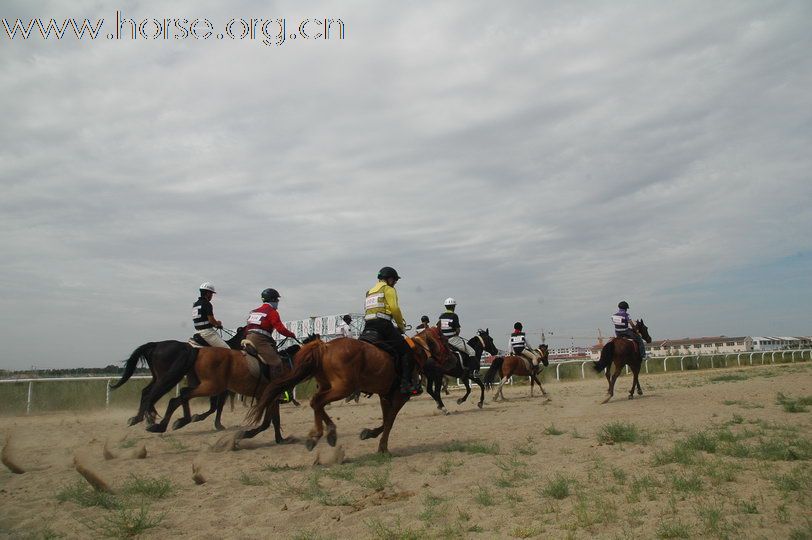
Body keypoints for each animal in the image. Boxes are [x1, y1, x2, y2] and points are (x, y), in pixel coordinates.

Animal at [246, 326, 450, 454]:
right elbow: (390, 421)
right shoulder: (400, 397)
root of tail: (325, 346)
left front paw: (373, 436)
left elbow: (386, 420)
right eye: (443, 339)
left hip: (330, 386)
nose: (449, 356)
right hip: (343, 388)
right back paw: (322, 434)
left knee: (316, 403)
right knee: (318, 401)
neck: (416, 352)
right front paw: (381, 445)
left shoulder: (385, 396)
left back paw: (326, 433)